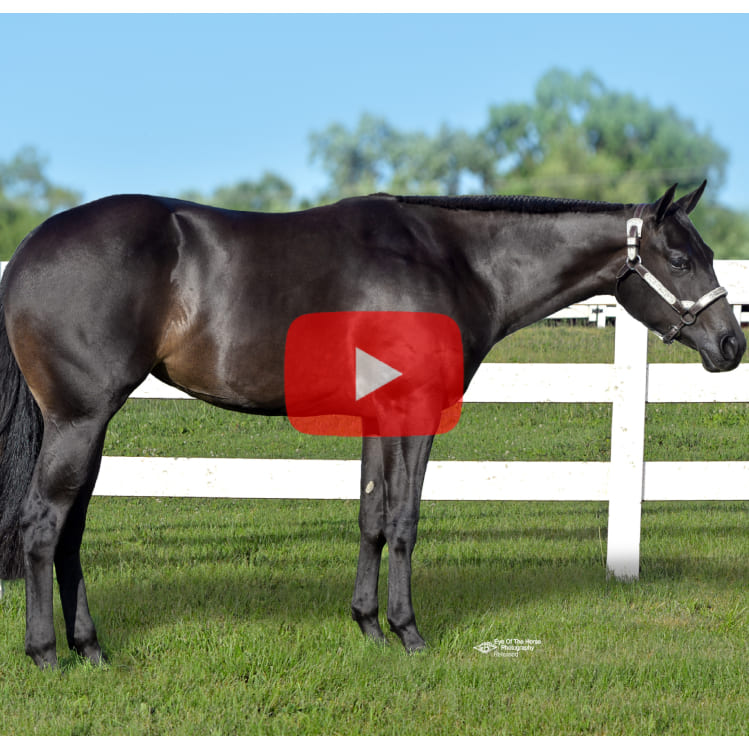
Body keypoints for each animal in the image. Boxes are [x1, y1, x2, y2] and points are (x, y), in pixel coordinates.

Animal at [0, 181, 744, 669]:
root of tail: (29, 249)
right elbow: (405, 519)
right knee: (42, 525)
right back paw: (46, 653)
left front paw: (367, 625)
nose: (730, 344)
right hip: (80, 420)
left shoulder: (377, 417)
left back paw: (92, 648)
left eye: (708, 253)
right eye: (681, 259)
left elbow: (371, 516)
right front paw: (408, 632)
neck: (456, 260)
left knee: (69, 534)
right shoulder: (416, 412)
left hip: (90, 427)